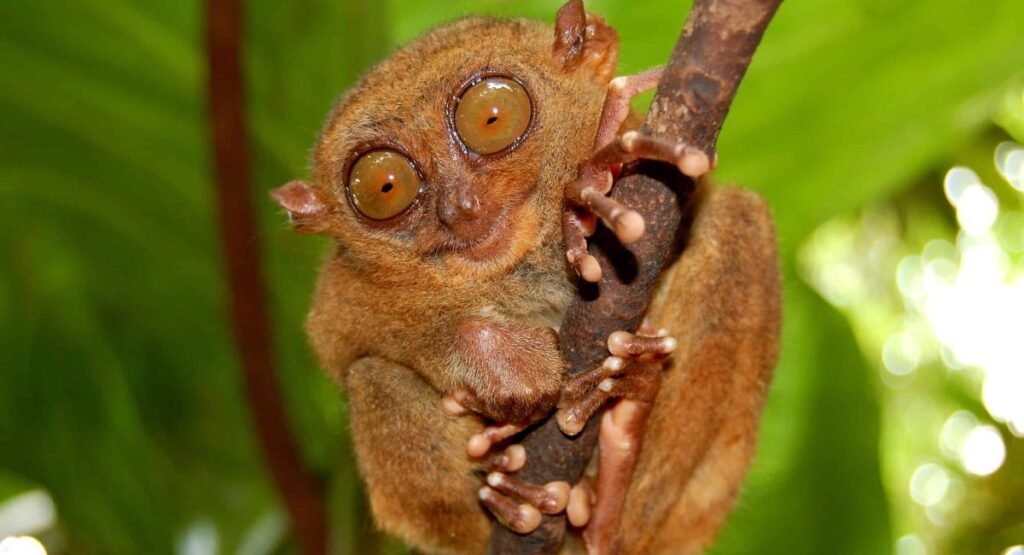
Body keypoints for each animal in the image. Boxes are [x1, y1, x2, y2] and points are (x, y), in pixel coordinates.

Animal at [271, 1, 781, 554]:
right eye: (386, 187)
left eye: (492, 118)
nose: (459, 208)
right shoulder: (341, 289)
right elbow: (335, 336)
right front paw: (501, 362)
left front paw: (590, 188)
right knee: (372, 378)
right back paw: (516, 493)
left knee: (737, 217)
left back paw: (615, 477)